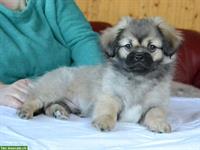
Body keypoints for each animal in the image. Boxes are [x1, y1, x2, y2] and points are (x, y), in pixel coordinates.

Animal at [17, 17, 183, 133]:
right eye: (128, 46)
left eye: (152, 47)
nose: (139, 56)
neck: (138, 78)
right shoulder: (109, 96)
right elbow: (107, 110)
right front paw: (104, 122)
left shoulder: (156, 104)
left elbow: (156, 113)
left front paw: (160, 123)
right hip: (52, 90)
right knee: (34, 100)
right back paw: (26, 111)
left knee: (50, 106)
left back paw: (59, 112)